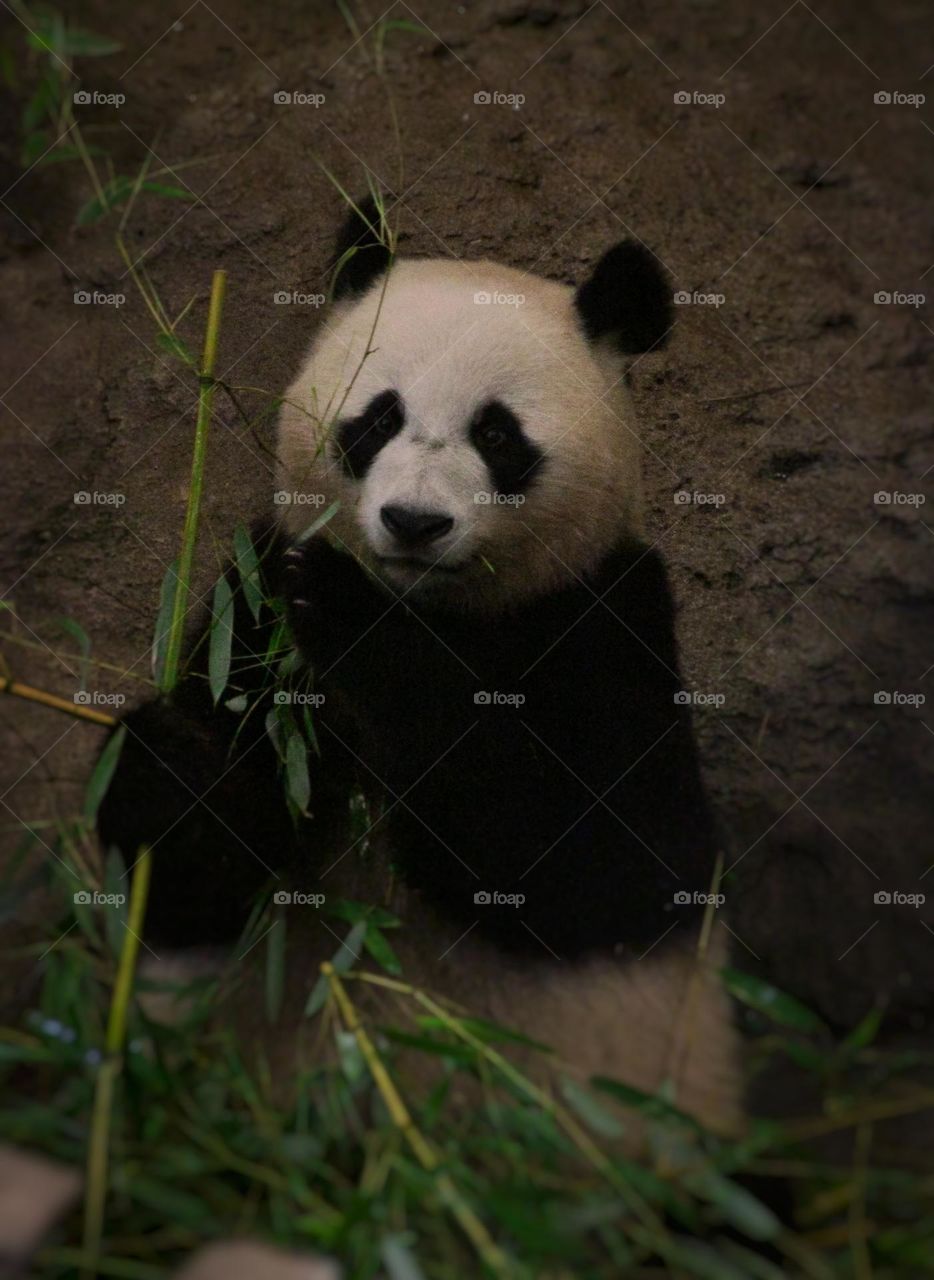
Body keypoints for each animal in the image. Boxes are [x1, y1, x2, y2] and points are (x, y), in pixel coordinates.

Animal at [98, 197, 742, 1147]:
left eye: (497, 434)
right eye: (377, 420)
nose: (413, 522)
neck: (437, 612)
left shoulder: (603, 615)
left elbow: (600, 870)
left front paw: (351, 609)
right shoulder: (252, 611)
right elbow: (193, 880)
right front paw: (172, 760)